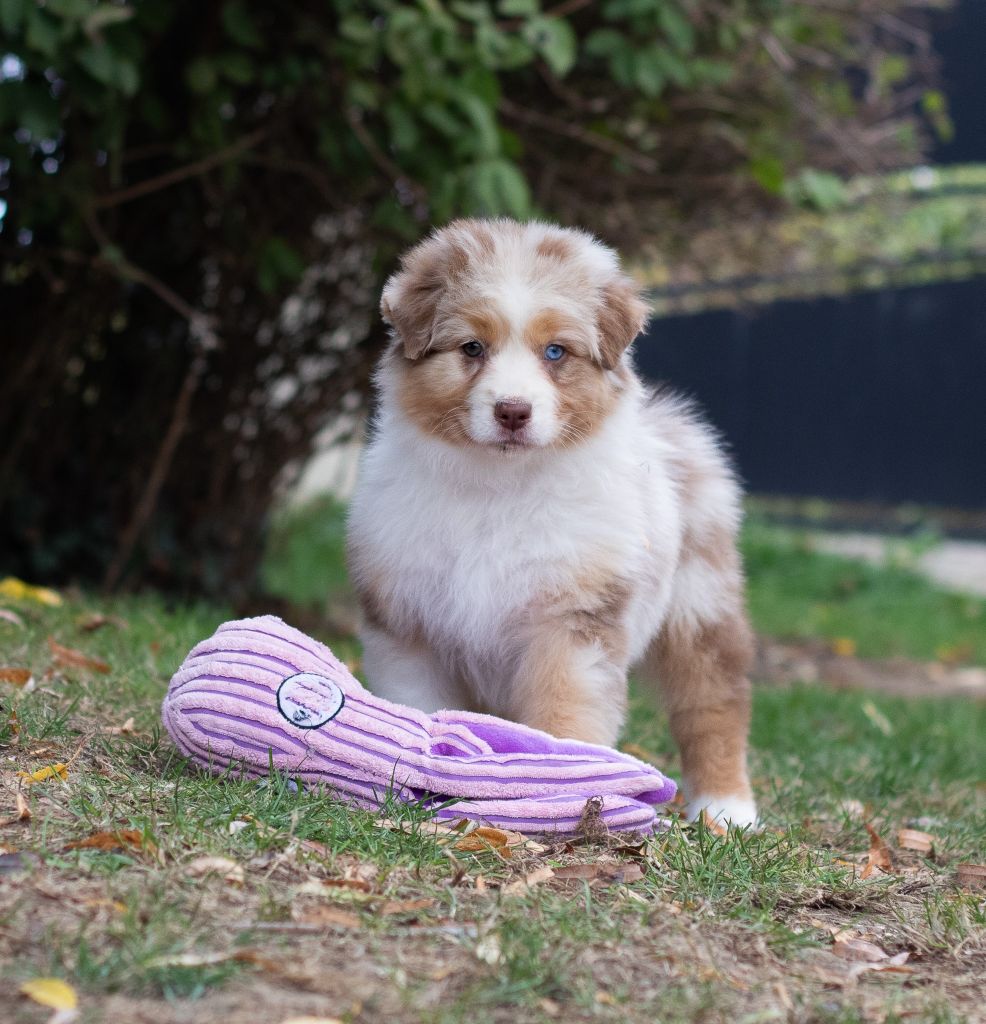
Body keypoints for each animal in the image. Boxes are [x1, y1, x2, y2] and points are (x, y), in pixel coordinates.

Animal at [346, 218, 756, 826]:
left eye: (555, 351)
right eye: (472, 347)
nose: (513, 411)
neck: (498, 489)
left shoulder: (572, 624)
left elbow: (563, 718)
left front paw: (566, 793)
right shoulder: (408, 626)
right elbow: (419, 708)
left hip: (699, 604)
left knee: (712, 703)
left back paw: (727, 810)